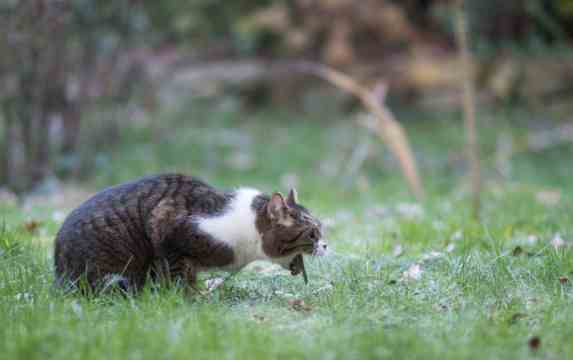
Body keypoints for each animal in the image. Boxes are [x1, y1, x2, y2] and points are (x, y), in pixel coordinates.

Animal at [53, 173, 326, 294]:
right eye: (313, 233)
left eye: (321, 230)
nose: (326, 245)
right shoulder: (167, 228)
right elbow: (180, 275)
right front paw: (191, 299)